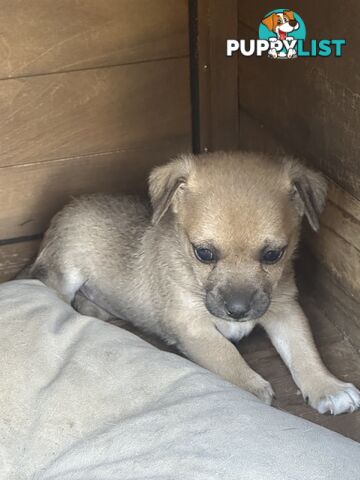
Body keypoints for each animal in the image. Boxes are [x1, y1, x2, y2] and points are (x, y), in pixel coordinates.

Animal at [28, 152, 360, 414]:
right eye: (204, 253)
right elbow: (226, 355)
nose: (237, 311)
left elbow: (304, 350)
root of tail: (65, 208)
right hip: (64, 270)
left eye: (273, 255)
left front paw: (327, 386)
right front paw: (251, 389)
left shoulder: (285, 309)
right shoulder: (192, 326)